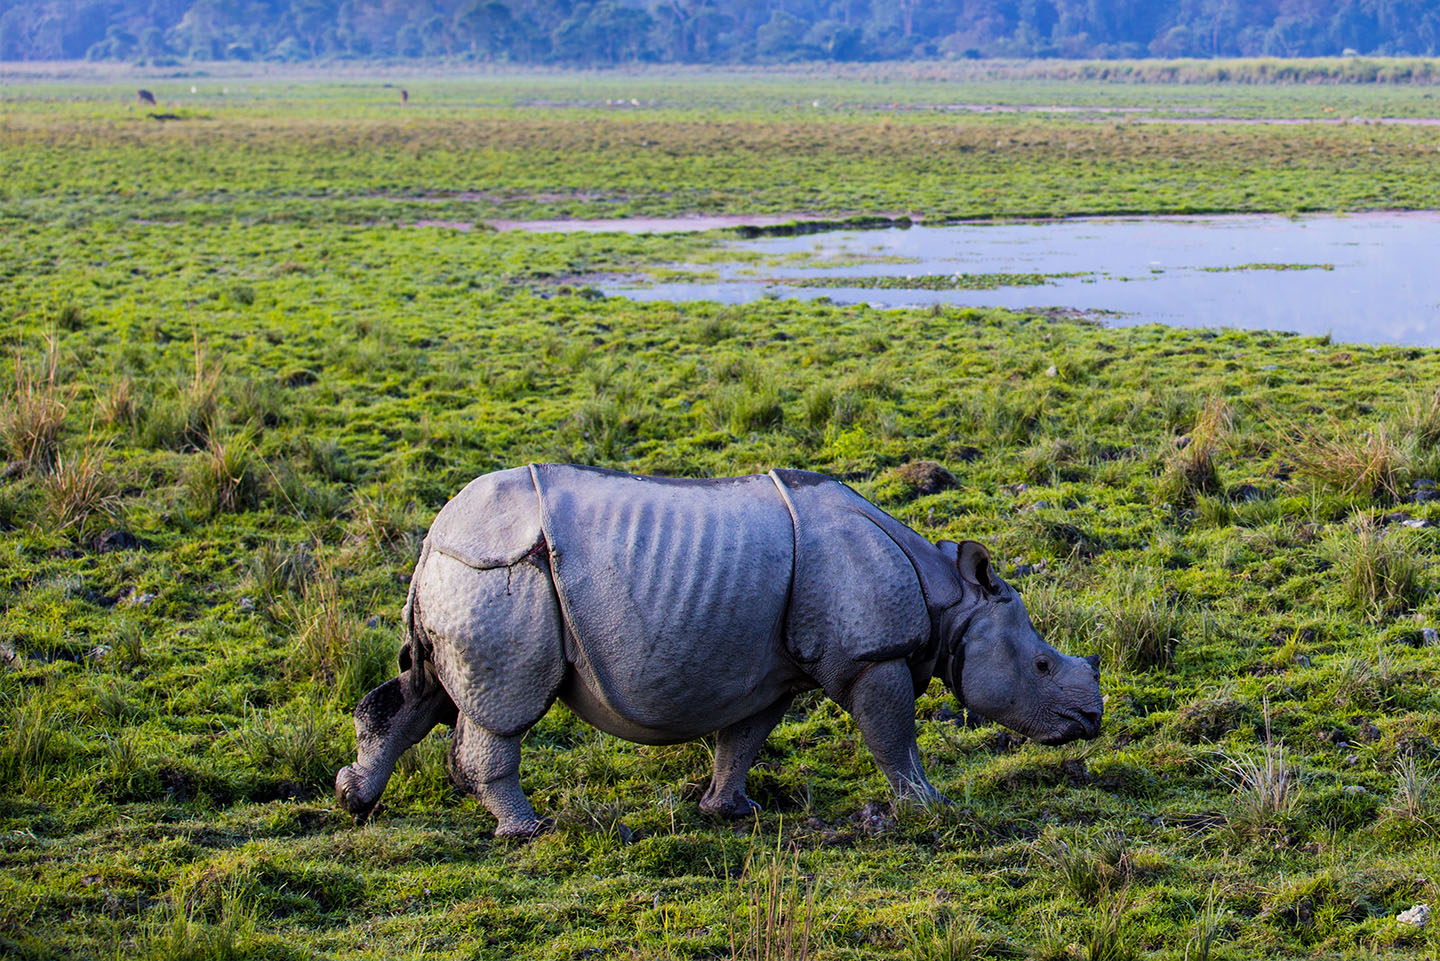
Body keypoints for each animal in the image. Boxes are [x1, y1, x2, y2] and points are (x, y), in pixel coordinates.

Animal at [336, 464, 1102, 837]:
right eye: (1041, 666)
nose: (1092, 720)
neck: (949, 599)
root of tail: (432, 536)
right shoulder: (871, 656)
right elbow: (893, 738)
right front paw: (929, 806)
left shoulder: (771, 672)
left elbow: (744, 739)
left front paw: (730, 812)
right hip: (501, 573)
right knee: (502, 709)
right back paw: (528, 830)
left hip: (466, 575)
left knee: (425, 691)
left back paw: (354, 800)